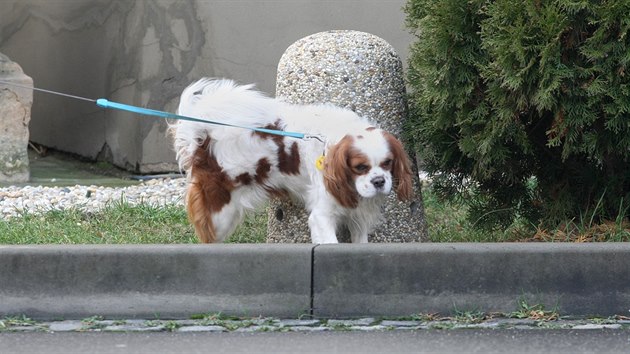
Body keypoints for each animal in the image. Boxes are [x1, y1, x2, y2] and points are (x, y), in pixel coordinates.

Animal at [173, 78, 414, 243]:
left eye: (388, 163)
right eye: (360, 167)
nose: (379, 181)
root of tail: (203, 138)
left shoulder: (358, 218)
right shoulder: (322, 216)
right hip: (220, 213)